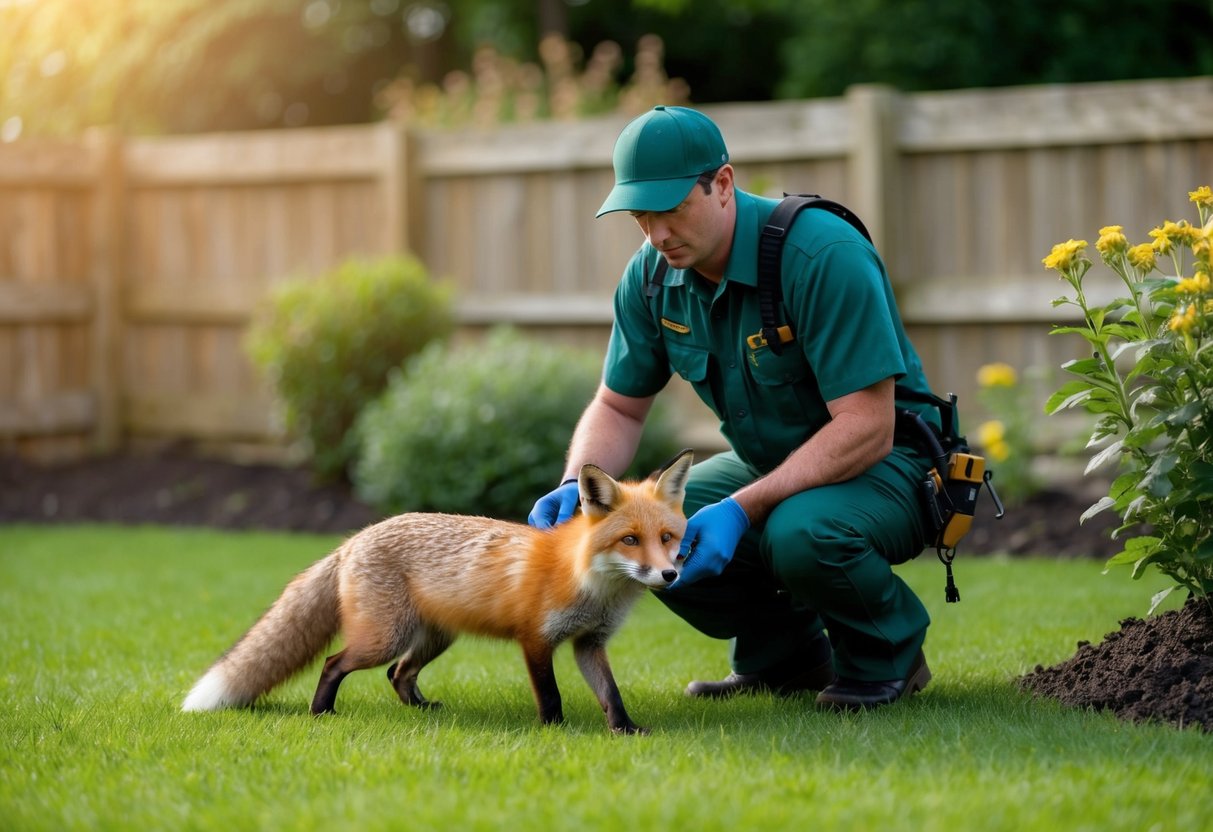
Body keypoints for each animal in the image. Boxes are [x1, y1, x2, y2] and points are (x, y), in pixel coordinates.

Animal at [181, 449, 693, 734]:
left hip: (433, 638)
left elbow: (611, 694)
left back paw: (422, 710)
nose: (668, 575)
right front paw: (557, 733)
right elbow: (550, 696)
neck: (590, 584)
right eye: (630, 540)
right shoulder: (535, 640)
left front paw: (625, 730)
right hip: (384, 638)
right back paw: (321, 712)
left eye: (667, 537)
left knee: (398, 674)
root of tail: (353, 538)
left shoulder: (589, 643)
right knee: (334, 663)